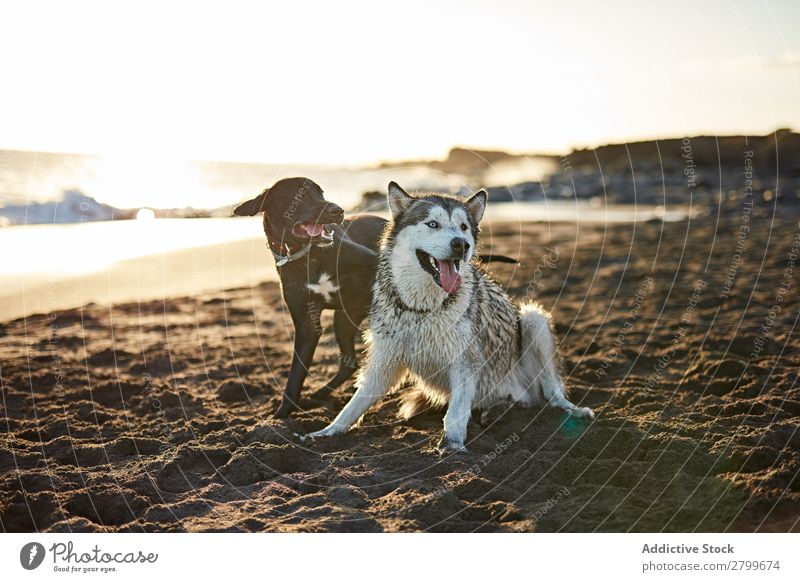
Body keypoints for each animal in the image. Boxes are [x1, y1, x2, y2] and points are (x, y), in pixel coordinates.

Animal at [234, 176, 516, 418]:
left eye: (321, 192)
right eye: (299, 197)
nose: (338, 211)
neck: (309, 256)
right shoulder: (306, 325)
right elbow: (295, 376)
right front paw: (281, 415)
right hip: (342, 320)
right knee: (349, 362)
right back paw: (320, 394)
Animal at [304, 182, 592, 452]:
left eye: (463, 227)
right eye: (433, 224)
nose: (461, 244)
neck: (421, 309)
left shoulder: (465, 362)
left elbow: (456, 413)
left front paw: (452, 445)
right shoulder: (384, 361)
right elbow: (354, 405)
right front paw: (327, 432)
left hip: (534, 320)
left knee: (551, 393)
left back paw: (568, 409)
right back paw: (496, 409)